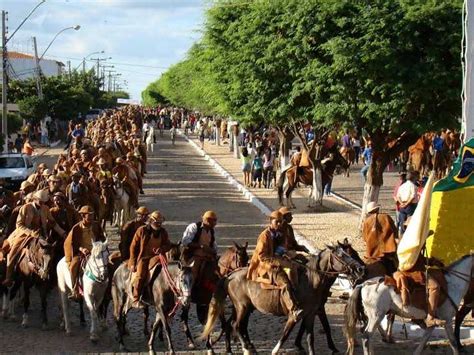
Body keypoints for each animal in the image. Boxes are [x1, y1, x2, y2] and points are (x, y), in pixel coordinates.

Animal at [202, 245, 364, 355]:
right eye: (341, 255)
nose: (360, 269)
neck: (310, 282)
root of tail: (230, 275)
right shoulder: (295, 315)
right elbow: (285, 334)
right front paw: (276, 350)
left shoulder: (311, 314)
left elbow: (310, 338)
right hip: (242, 307)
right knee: (236, 325)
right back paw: (245, 349)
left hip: (244, 308)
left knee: (236, 326)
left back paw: (243, 348)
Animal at [344, 256, 474, 355]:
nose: (470, 302)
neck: (453, 284)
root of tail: (364, 284)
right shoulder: (447, 320)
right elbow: (453, 342)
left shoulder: (435, 321)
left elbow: (425, 338)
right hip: (376, 316)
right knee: (366, 337)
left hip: (374, 316)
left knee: (368, 336)